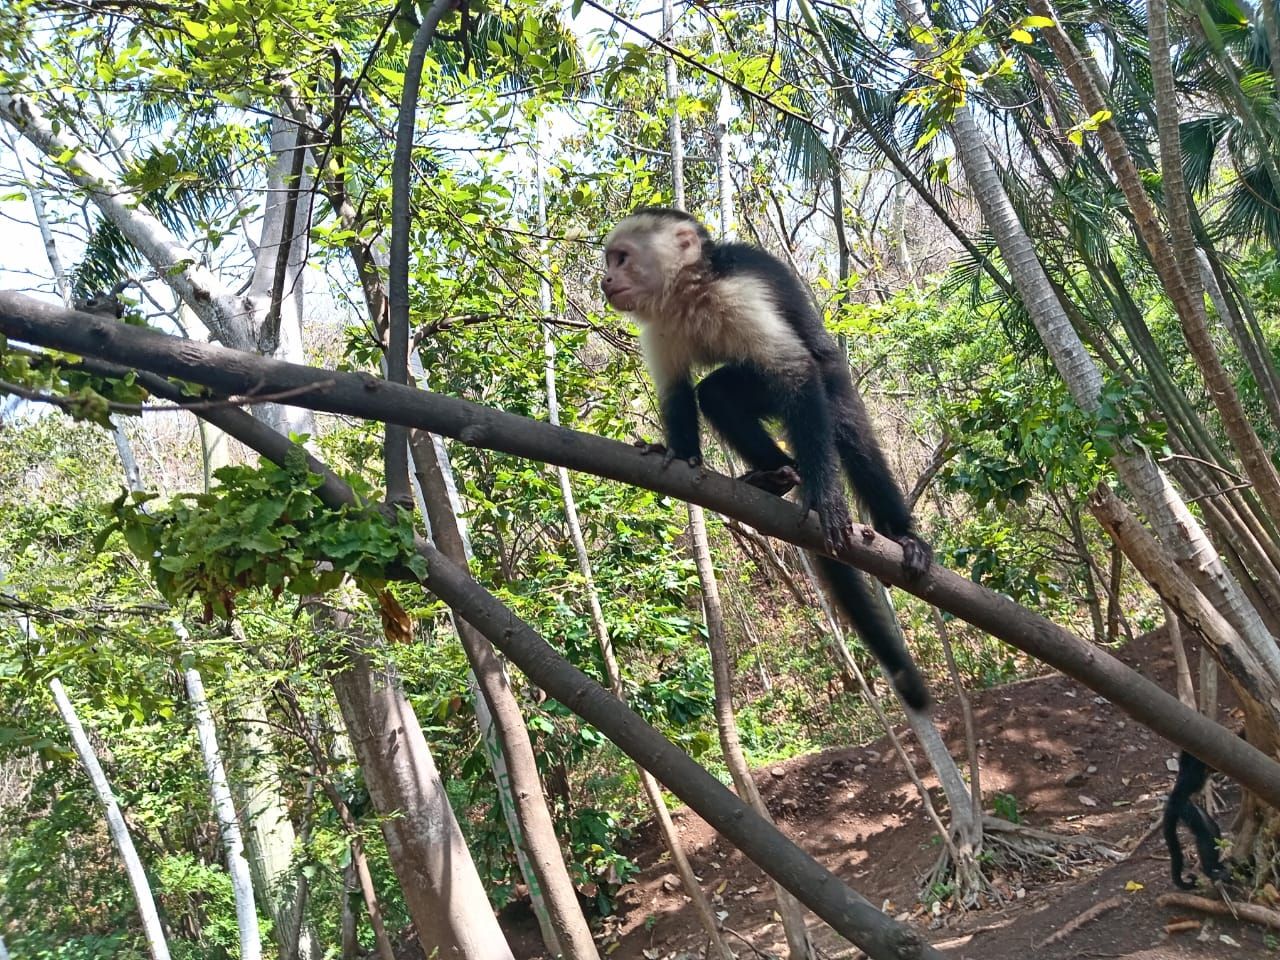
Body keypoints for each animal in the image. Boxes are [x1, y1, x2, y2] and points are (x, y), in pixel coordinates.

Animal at [601, 207, 933, 710]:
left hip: (835, 379)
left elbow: (796, 374)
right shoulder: (659, 325)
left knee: (844, 428)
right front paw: (679, 454)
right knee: (716, 394)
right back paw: (778, 474)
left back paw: (899, 534)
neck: (689, 293)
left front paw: (826, 498)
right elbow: (678, 393)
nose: (605, 279)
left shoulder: (737, 294)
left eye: (621, 258)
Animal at [1164, 748, 1230, 889]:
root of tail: (1173, 798)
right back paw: (1210, 871)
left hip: (1188, 805)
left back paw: (1216, 867)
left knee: (1211, 828)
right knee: (1204, 833)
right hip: (1183, 807)